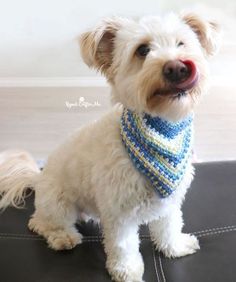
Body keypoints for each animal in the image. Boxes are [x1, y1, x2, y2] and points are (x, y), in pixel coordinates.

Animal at [0, 12, 219, 282]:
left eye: (182, 43)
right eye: (142, 50)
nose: (177, 67)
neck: (163, 131)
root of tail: (38, 178)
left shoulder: (169, 202)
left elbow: (169, 227)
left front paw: (175, 247)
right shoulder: (119, 211)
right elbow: (123, 245)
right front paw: (127, 271)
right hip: (58, 204)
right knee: (40, 222)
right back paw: (62, 236)